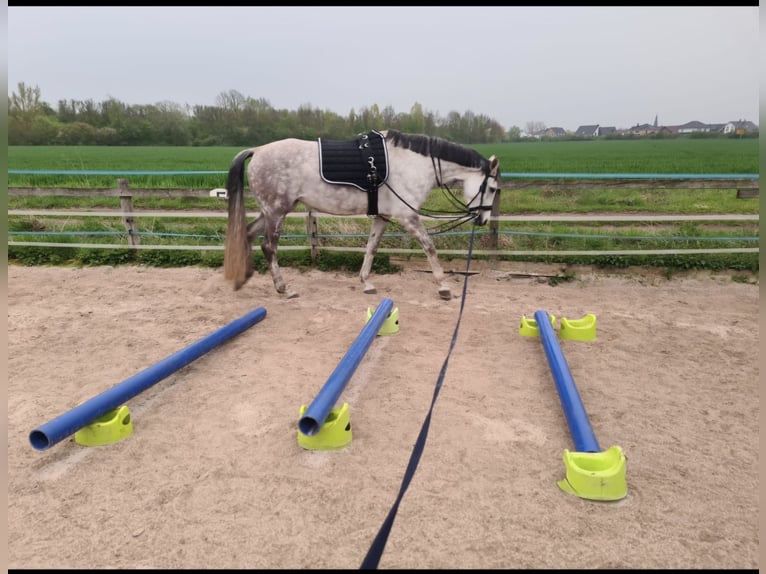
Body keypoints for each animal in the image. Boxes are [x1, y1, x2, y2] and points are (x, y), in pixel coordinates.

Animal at [223, 129, 501, 300]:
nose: (483, 219)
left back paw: (243, 278)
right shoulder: (407, 217)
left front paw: (366, 282)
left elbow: (371, 248)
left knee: (247, 235)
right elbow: (429, 247)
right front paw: (443, 287)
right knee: (269, 247)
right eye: (492, 188)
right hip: (276, 212)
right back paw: (284, 288)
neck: (413, 164)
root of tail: (258, 150)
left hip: (271, 211)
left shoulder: (383, 216)